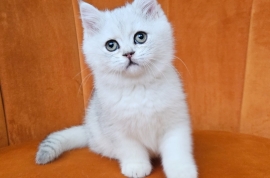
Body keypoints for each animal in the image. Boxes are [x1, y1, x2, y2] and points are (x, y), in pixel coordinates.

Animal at [34, 0, 197, 177]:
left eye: (140, 37)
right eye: (111, 45)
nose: (128, 53)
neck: (138, 87)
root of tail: (87, 130)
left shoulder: (176, 122)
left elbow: (177, 149)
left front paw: (181, 170)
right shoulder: (116, 129)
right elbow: (130, 148)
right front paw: (136, 166)